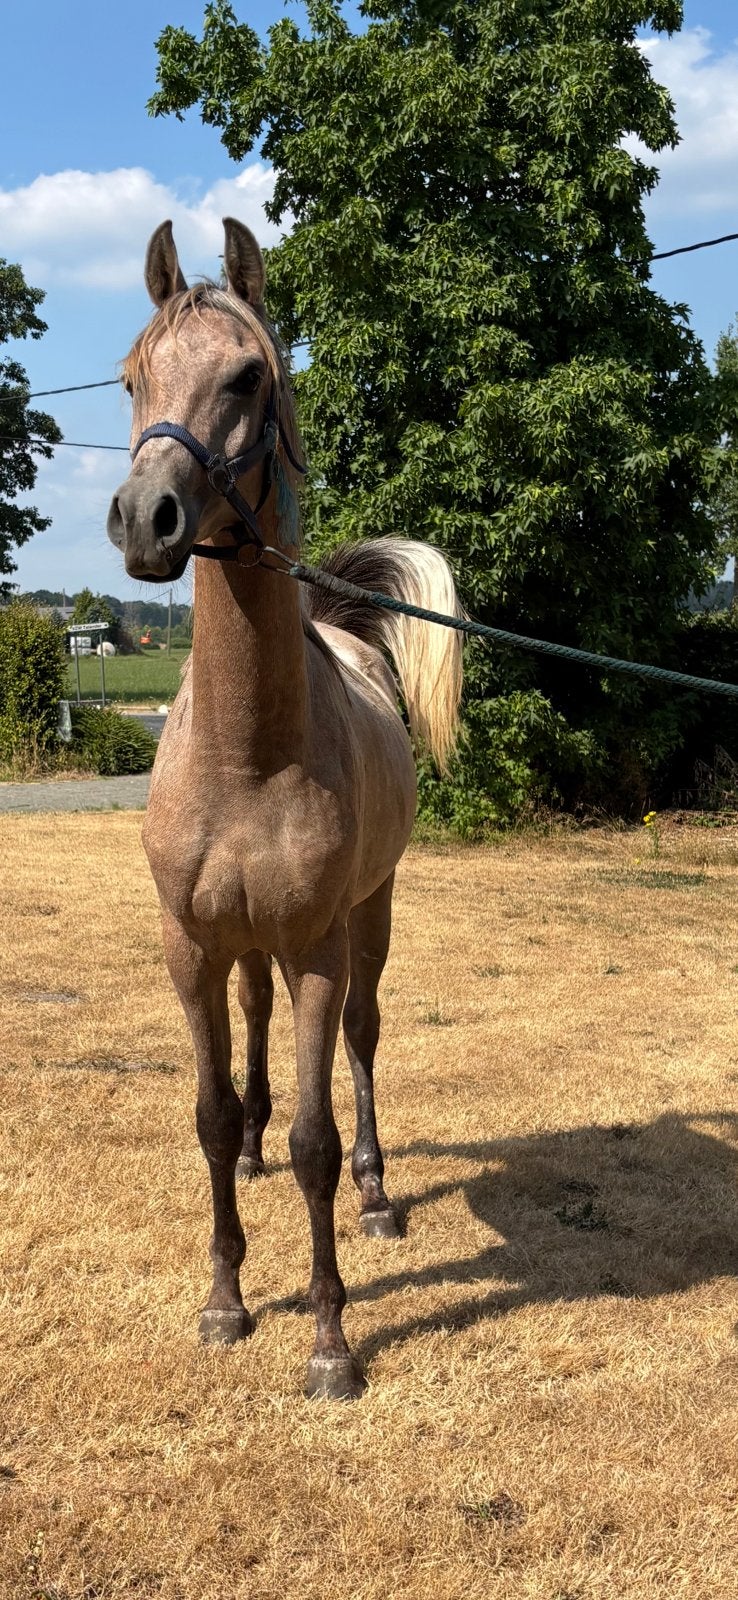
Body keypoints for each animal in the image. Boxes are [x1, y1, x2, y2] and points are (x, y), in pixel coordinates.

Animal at [107, 216, 464, 1399]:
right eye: (132, 376)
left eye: (249, 376)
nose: (146, 520)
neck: (245, 753)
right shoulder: (190, 947)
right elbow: (212, 1117)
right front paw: (225, 1298)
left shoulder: (315, 946)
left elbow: (316, 1134)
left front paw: (331, 1340)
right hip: (248, 946)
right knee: (256, 1036)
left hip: (368, 918)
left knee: (360, 1041)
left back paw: (379, 1193)